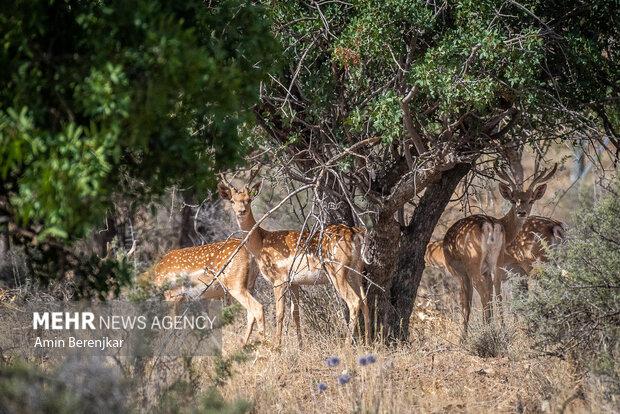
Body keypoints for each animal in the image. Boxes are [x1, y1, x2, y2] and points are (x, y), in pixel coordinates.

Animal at [218, 171, 370, 346]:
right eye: (232, 200)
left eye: (249, 199)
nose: (241, 211)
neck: (261, 244)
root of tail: (356, 233)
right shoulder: (294, 283)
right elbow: (295, 313)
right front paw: (300, 346)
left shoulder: (279, 279)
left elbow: (280, 313)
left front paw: (277, 346)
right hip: (356, 270)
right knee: (365, 300)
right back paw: (370, 342)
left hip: (337, 270)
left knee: (354, 301)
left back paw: (347, 347)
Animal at [440, 150, 556, 334]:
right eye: (514, 200)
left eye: (531, 200)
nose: (522, 212)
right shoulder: (490, 269)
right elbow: (491, 293)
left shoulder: (459, 271)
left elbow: (467, 304)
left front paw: (464, 335)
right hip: (497, 260)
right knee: (495, 290)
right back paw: (499, 327)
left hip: (474, 262)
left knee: (482, 293)